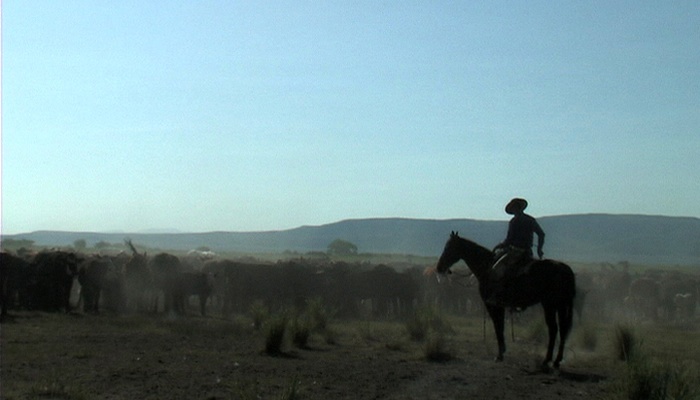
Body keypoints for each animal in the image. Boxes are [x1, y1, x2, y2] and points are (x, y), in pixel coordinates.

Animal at [435, 231, 576, 368]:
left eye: (448, 247)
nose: (439, 267)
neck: (486, 267)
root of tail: (566, 269)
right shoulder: (499, 306)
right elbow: (500, 326)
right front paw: (502, 351)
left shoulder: (493, 305)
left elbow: (498, 327)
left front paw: (500, 355)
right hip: (559, 306)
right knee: (561, 329)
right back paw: (556, 360)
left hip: (550, 305)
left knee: (554, 329)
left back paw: (548, 360)